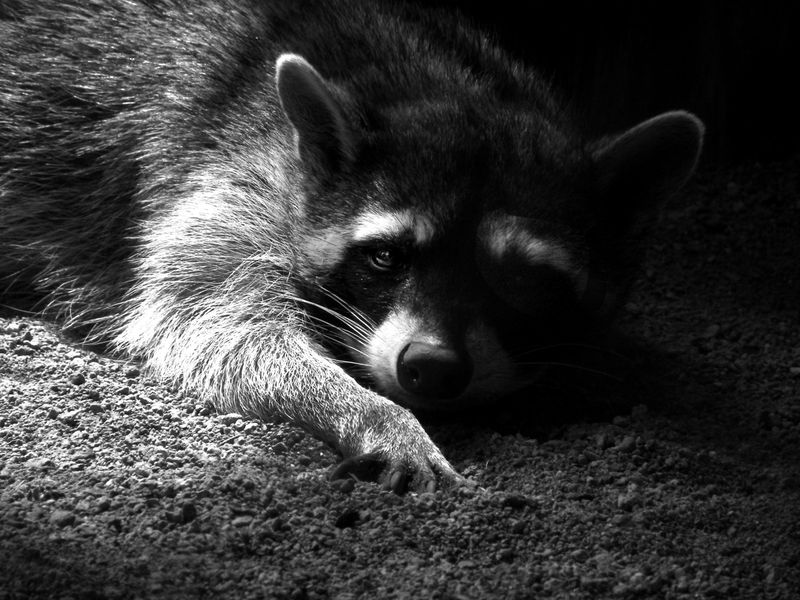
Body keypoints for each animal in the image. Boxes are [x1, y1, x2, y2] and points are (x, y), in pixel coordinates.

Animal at [0, 0, 703, 493]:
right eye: (387, 256)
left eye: (523, 279)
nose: (432, 368)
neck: (444, 81)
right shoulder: (235, 174)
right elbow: (217, 325)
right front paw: (370, 411)